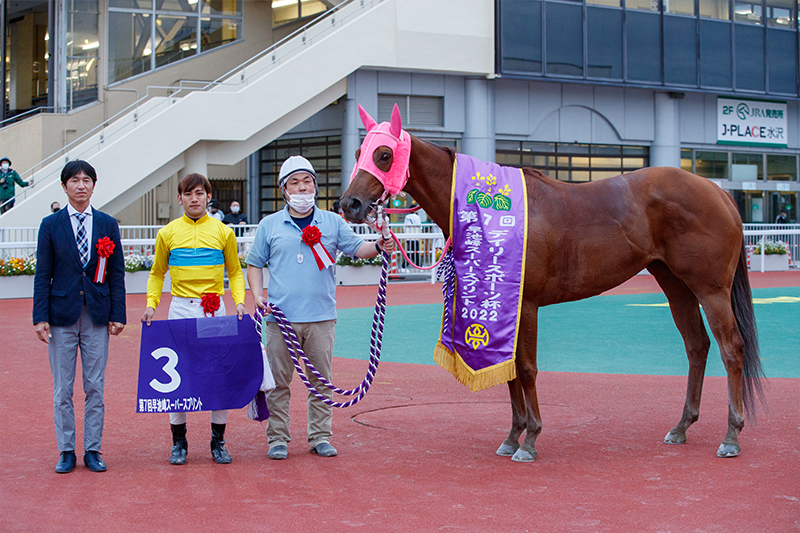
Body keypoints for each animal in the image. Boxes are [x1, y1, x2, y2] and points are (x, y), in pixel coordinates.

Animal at [340, 105, 764, 462]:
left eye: (384, 155)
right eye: (360, 150)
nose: (349, 204)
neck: (494, 215)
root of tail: (719, 191)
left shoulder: (525, 304)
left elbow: (526, 368)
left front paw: (529, 440)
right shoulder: (504, 305)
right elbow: (510, 370)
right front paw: (512, 436)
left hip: (711, 289)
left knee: (731, 349)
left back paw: (731, 436)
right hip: (675, 285)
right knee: (697, 346)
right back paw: (682, 426)